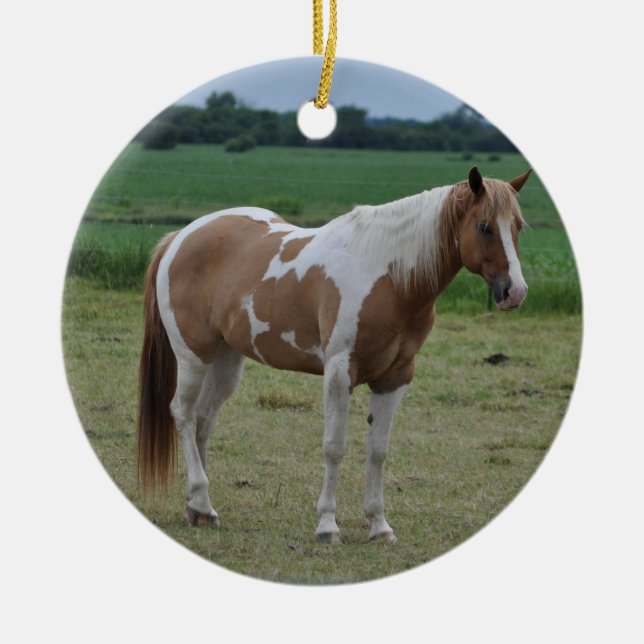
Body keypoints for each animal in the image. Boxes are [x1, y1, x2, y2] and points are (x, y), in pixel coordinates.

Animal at [137, 166, 531, 543]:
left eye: (517, 227)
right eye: (484, 226)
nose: (515, 292)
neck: (388, 278)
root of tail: (180, 238)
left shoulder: (395, 377)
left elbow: (378, 451)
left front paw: (379, 526)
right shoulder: (340, 371)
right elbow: (334, 447)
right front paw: (328, 526)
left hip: (227, 359)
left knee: (204, 420)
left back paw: (200, 509)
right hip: (194, 355)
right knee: (183, 414)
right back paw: (200, 496)